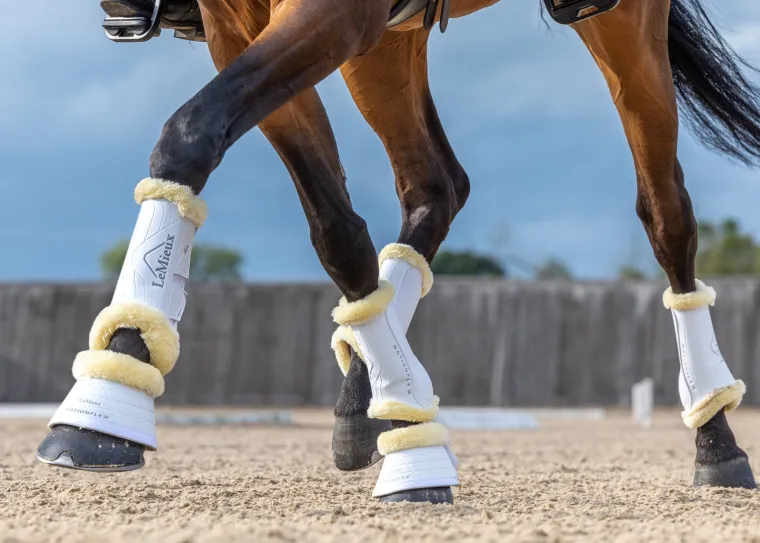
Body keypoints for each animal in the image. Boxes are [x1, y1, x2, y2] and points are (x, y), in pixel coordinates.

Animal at [36, 0, 760, 504]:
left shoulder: (331, 11)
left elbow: (192, 132)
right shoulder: (235, 26)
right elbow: (332, 225)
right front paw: (110, 388)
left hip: (623, 26)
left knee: (667, 213)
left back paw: (716, 437)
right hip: (386, 42)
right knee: (435, 185)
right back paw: (368, 396)